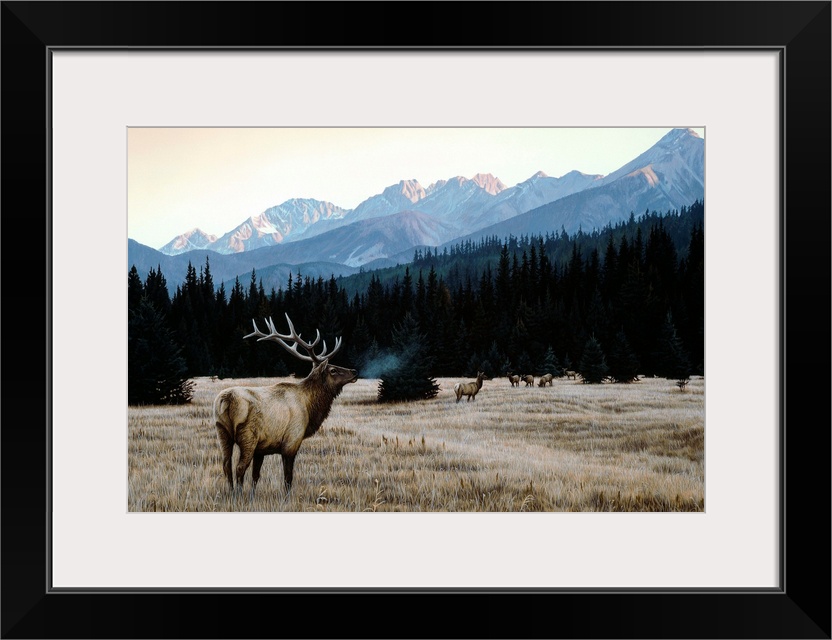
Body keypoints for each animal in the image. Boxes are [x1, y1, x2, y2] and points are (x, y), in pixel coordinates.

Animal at [211, 316, 358, 496]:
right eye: (333, 370)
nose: (354, 371)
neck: (310, 407)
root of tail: (226, 399)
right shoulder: (292, 440)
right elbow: (288, 477)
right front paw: (287, 497)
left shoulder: (262, 448)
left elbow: (256, 475)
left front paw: (253, 495)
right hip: (248, 435)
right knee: (239, 467)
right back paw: (238, 495)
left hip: (221, 430)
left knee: (226, 465)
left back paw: (232, 492)